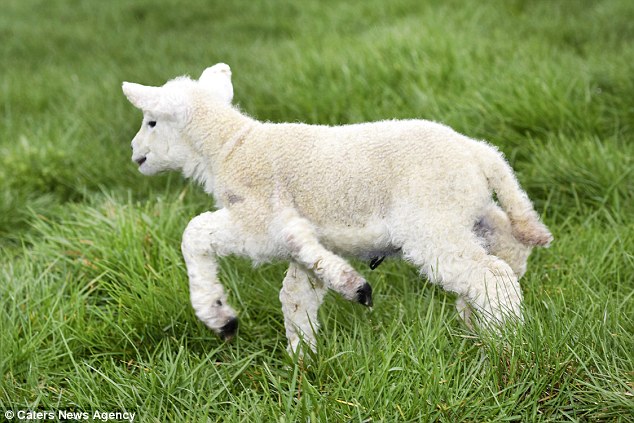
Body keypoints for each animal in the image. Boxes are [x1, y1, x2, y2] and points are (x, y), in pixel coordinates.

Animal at [121, 63, 552, 354]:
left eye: (151, 122)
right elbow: (297, 296)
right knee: (509, 249)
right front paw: (303, 359)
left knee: (490, 275)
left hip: (432, 222)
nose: (134, 153)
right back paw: (477, 322)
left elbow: (194, 234)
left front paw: (217, 314)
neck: (231, 147)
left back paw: (505, 341)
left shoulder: (256, 226)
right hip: (470, 212)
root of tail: (480, 152)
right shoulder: (296, 238)